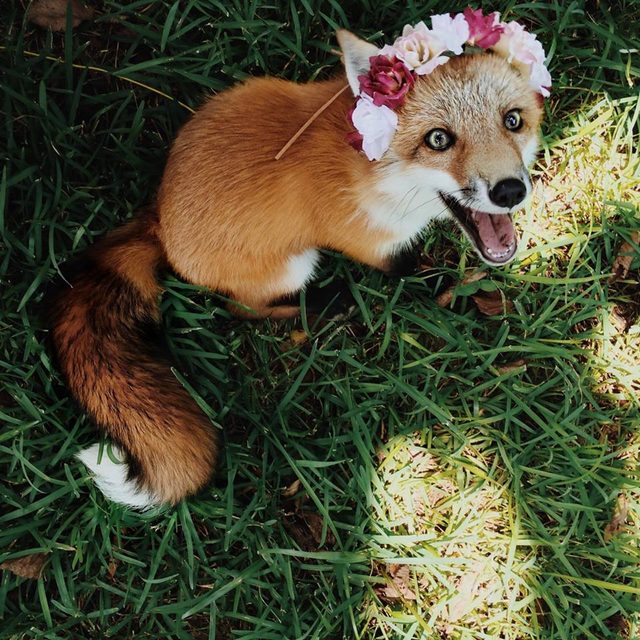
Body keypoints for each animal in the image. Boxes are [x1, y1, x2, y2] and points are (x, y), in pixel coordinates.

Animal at [47, 27, 544, 508]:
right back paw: (327, 303)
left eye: (512, 121)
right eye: (438, 139)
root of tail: (159, 220)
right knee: (244, 308)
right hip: (295, 264)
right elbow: (403, 268)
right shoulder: (364, 239)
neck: (378, 174)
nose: (509, 191)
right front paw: (444, 285)